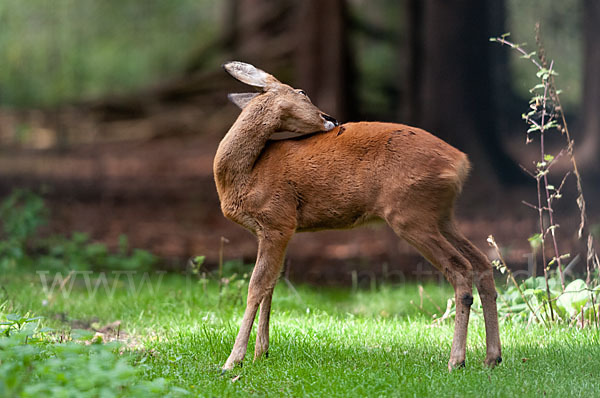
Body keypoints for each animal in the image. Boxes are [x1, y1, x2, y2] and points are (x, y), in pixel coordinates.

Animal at [216, 60, 502, 372]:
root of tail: (461, 162)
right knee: (482, 263)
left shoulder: (277, 220)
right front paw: (261, 353)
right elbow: (270, 284)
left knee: (461, 268)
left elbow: (256, 286)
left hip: (409, 213)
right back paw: (492, 357)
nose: (330, 117)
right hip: (440, 215)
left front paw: (233, 360)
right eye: (302, 92)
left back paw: (456, 360)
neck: (245, 176)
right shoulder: (276, 230)